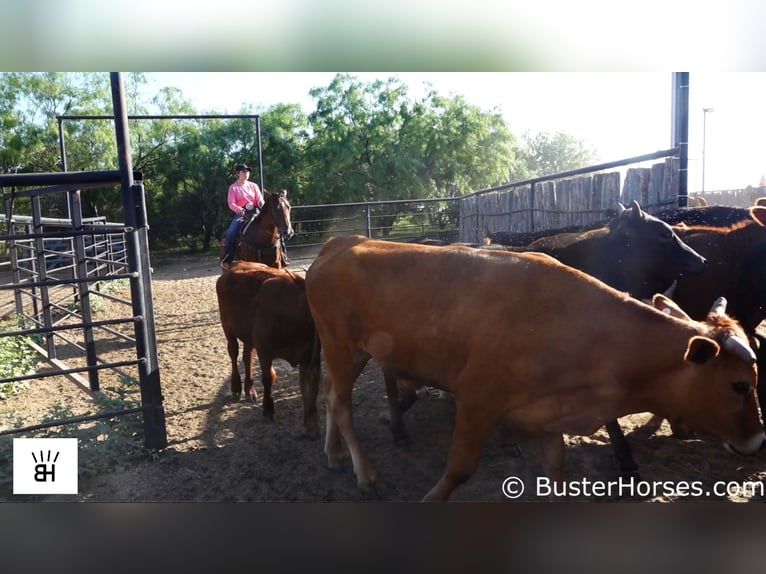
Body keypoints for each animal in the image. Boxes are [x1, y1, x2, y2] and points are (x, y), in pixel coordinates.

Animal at [216, 264, 320, 438]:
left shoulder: (310, 357)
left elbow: (310, 387)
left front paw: (311, 424)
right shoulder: (264, 350)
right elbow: (268, 379)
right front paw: (268, 410)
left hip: (249, 336)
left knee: (247, 357)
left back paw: (250, 390)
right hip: (227, 327)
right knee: (234, 353)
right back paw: (236, 387)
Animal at [304, 236, 760, 502]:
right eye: (739, 385)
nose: (758, 440)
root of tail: (342, 243)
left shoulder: (549, 413)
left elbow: (556, 471)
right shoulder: (477, 398)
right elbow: (459, 470)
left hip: (343, 351)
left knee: (329, 395)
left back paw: (332, 454)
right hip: (343, 347)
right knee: (340, 405)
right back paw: (365, 473)